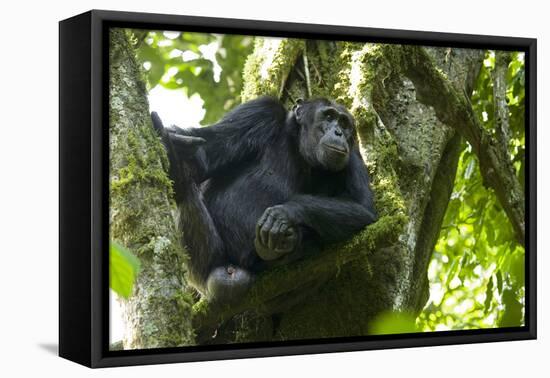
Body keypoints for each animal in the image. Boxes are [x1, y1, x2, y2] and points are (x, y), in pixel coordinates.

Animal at [153, 96, 382, 302]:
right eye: (328, 116)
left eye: (344, 123)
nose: (338, 132)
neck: (299, 148)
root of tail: (232, 269)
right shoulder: (259, 112)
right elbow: (203, 155)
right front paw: (171, 141)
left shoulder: (352, 154)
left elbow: (363, 208)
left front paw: (283, 214)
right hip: (205, 266)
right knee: (186, 188)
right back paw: (177, 168)